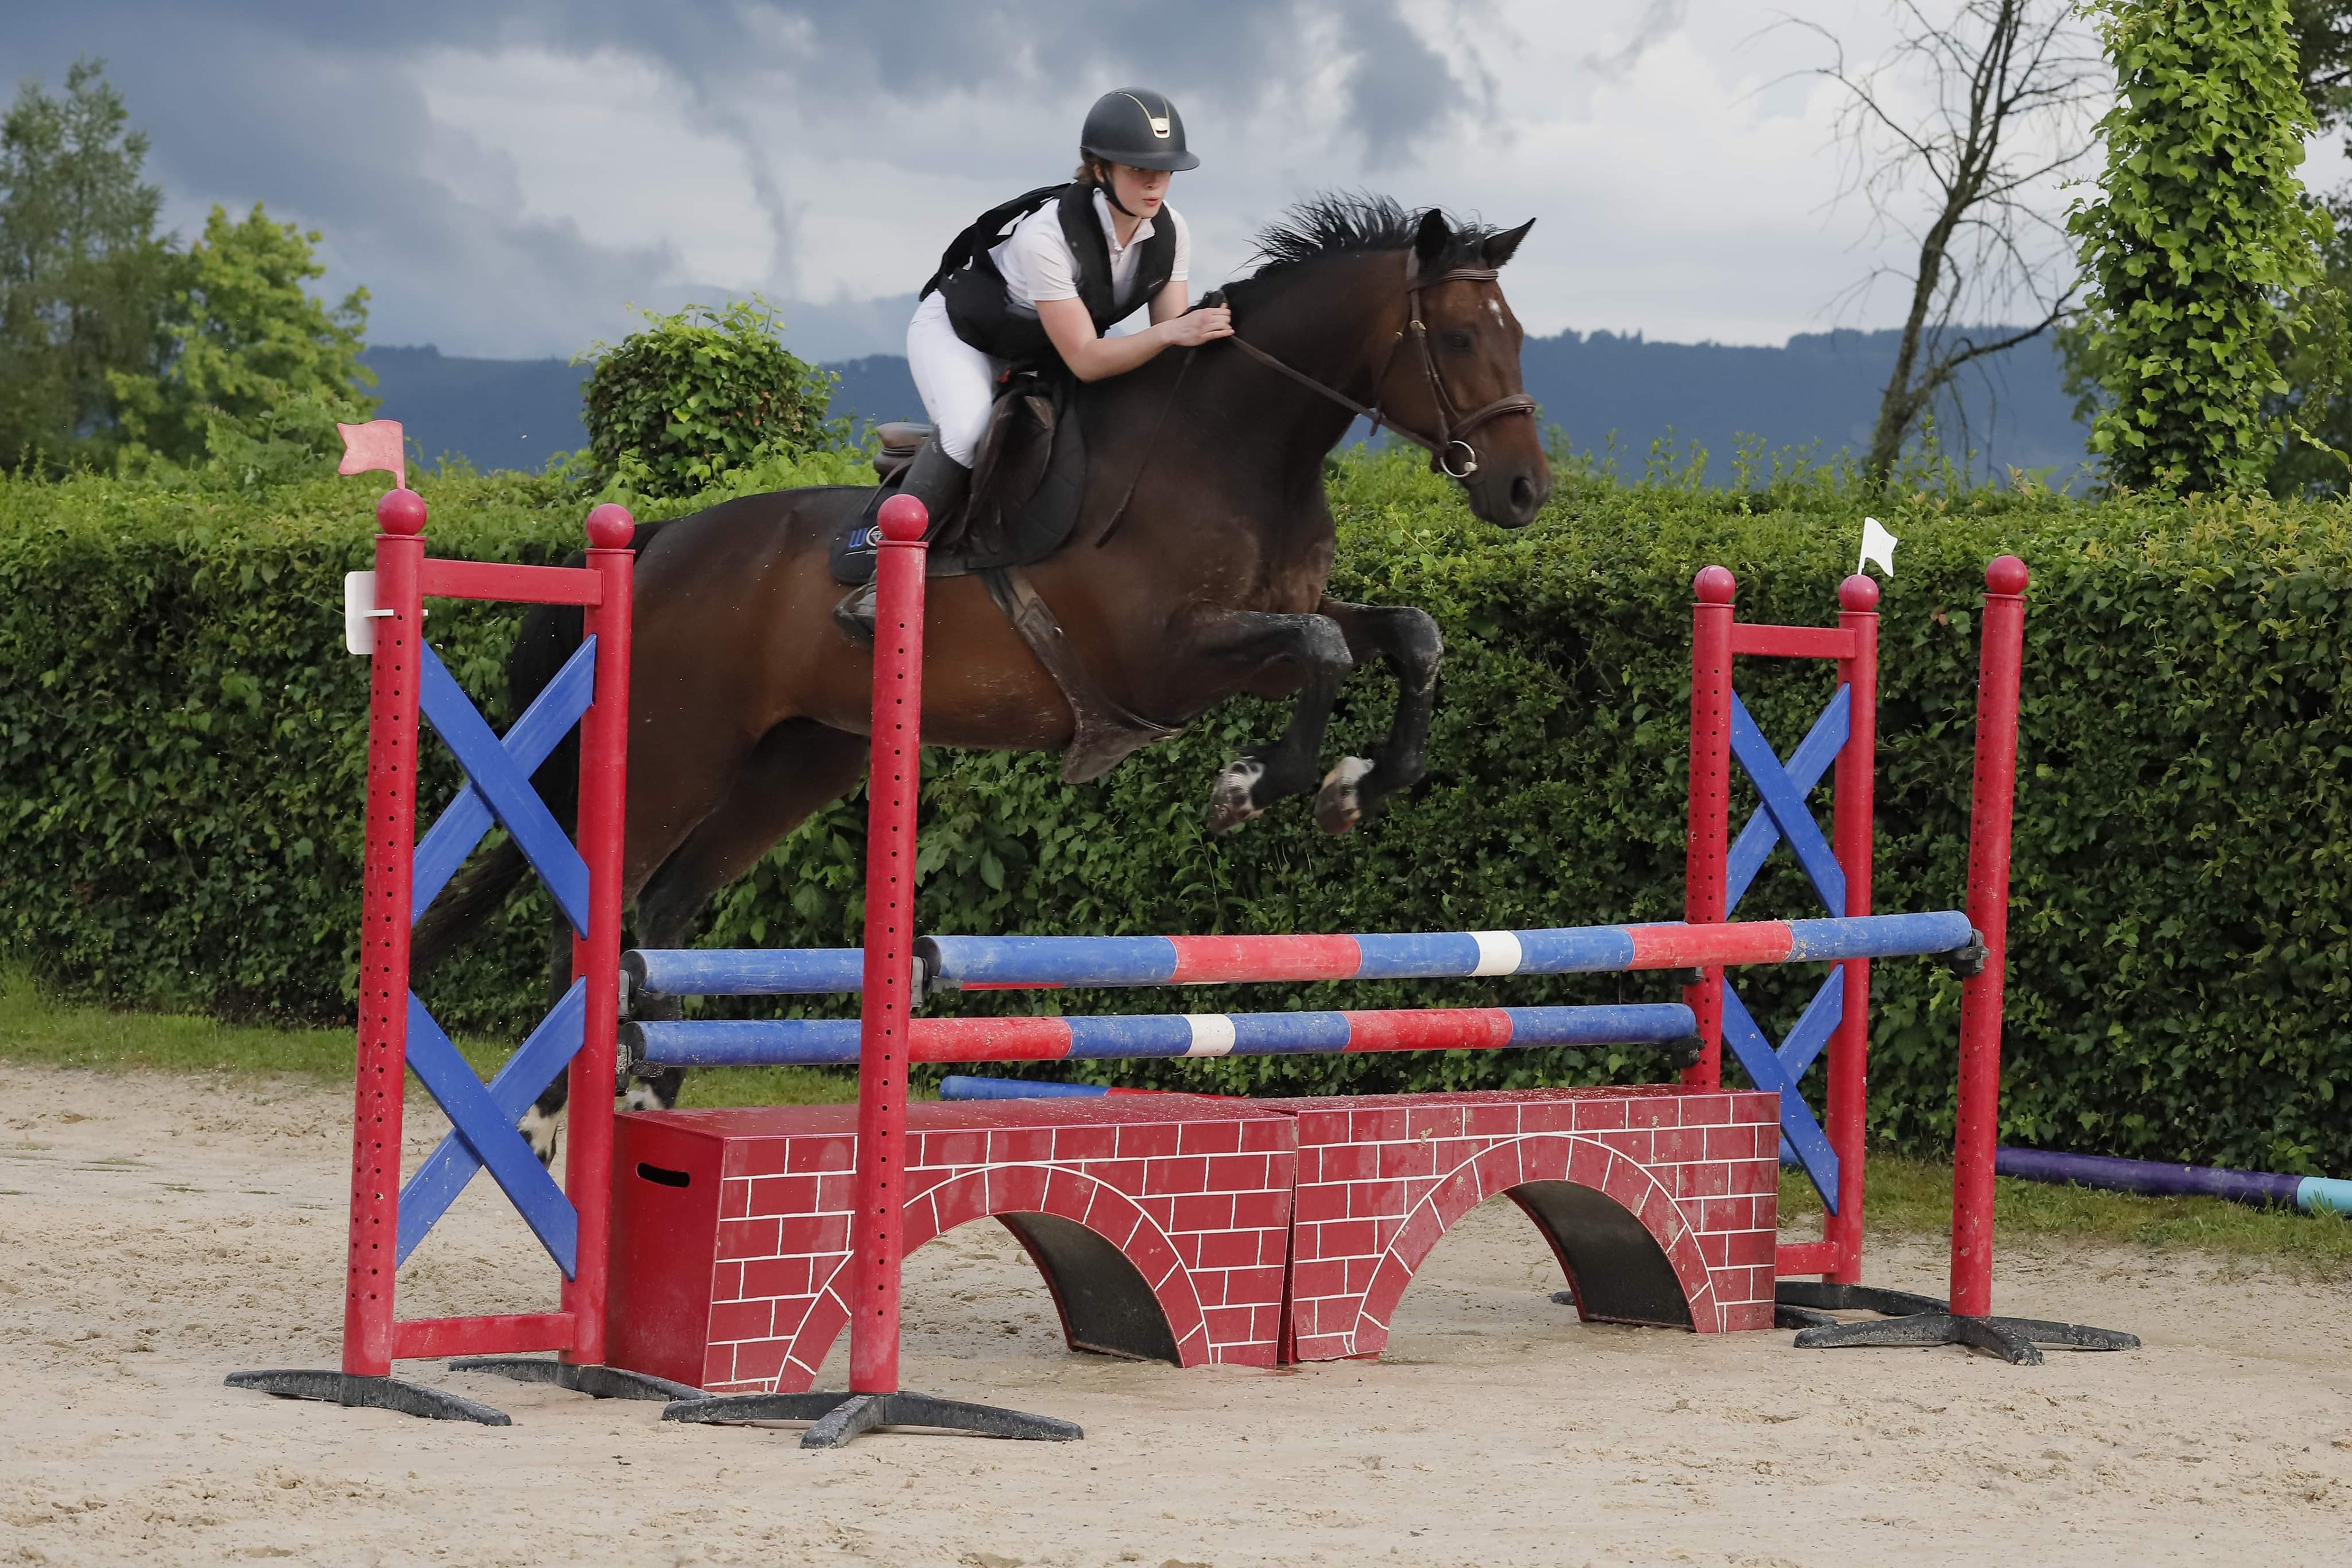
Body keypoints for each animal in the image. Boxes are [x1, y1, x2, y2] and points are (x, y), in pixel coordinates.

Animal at [411, 193, 1553, 1160]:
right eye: (1459, 338)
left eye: (1519, 338)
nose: (1524, 492)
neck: (1239, 446)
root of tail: (654, 543)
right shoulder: (1165, 658)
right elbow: (1324, 653)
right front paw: (1251, 789)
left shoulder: (1268, 637)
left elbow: (1408, 635)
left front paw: (1356, 789)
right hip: (675, 747)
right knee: (593, 906)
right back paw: (551, 1123)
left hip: (801, 760)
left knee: (669, 905)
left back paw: (654, 1097)